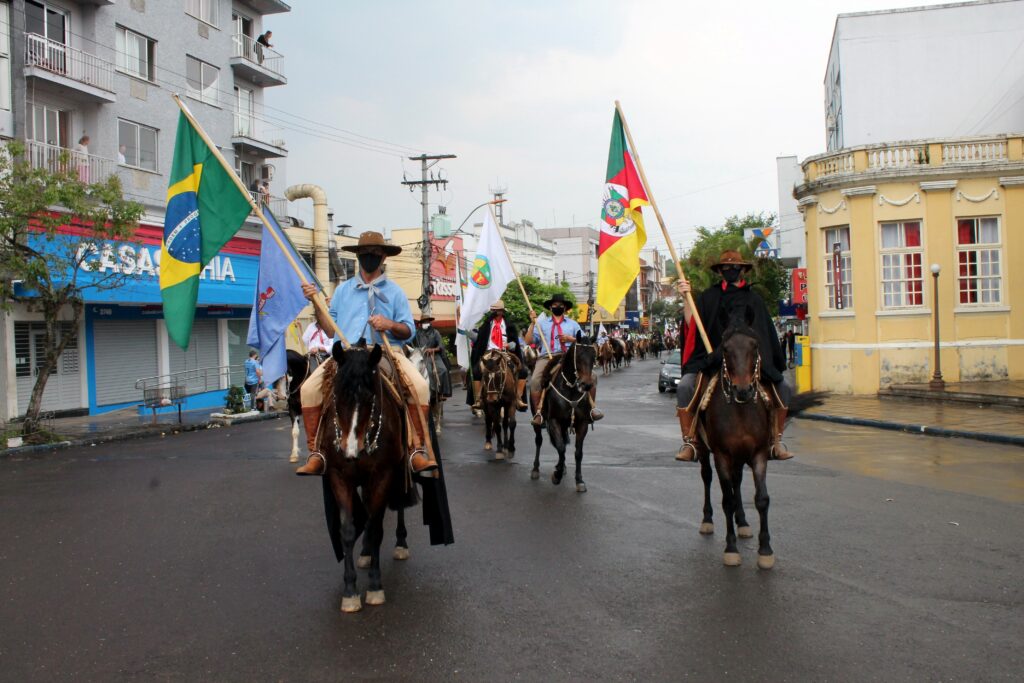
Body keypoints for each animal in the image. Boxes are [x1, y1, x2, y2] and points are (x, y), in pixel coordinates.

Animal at [319, 341, 419, 612]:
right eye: (338, 394)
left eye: (369, 397)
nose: (349, 451)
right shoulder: (339, 476)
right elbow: (347, 531)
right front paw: (350, 590)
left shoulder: (383, 474)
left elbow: (376, 529)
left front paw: (375, 586)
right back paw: (364, 553)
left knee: (398, 506)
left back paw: (401, 544)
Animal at [531, 333, 598, 493]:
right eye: (578, 356)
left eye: (594, 355)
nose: (586, 385)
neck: (571, 389)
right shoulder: (554, 421)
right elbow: (560, 448)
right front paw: (557, 475)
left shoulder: (582, 423)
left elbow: (578, 452)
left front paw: (579, 480)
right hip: (539, 422)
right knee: (539, 441)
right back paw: (536, 469)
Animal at [691, 307, 824, 570]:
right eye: (725, 348)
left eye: (754, 346)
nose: (743, 390)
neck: (741, 410)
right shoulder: (722, 455)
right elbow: (727, 500)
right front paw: (731, 549)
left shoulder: (758, 453)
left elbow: (761, 498)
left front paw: (765, 550)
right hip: (705, 449)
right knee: (707, 477)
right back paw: (708, 519)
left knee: (736, 482)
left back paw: (742, 522)